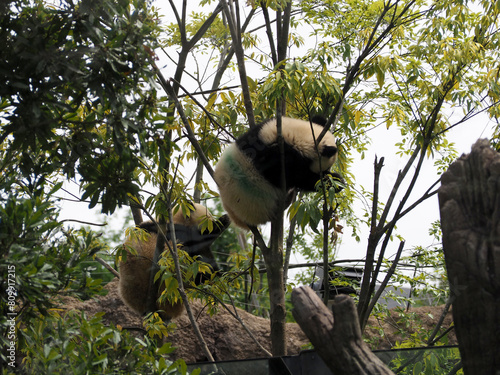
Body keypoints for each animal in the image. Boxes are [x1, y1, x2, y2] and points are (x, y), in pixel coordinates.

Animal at [213, 117, 342, 229]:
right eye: (326, 168)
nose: (328, 173)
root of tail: (235, 216)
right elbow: (301, 177)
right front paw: (334, 181)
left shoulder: (261, 131)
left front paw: (336, 182)